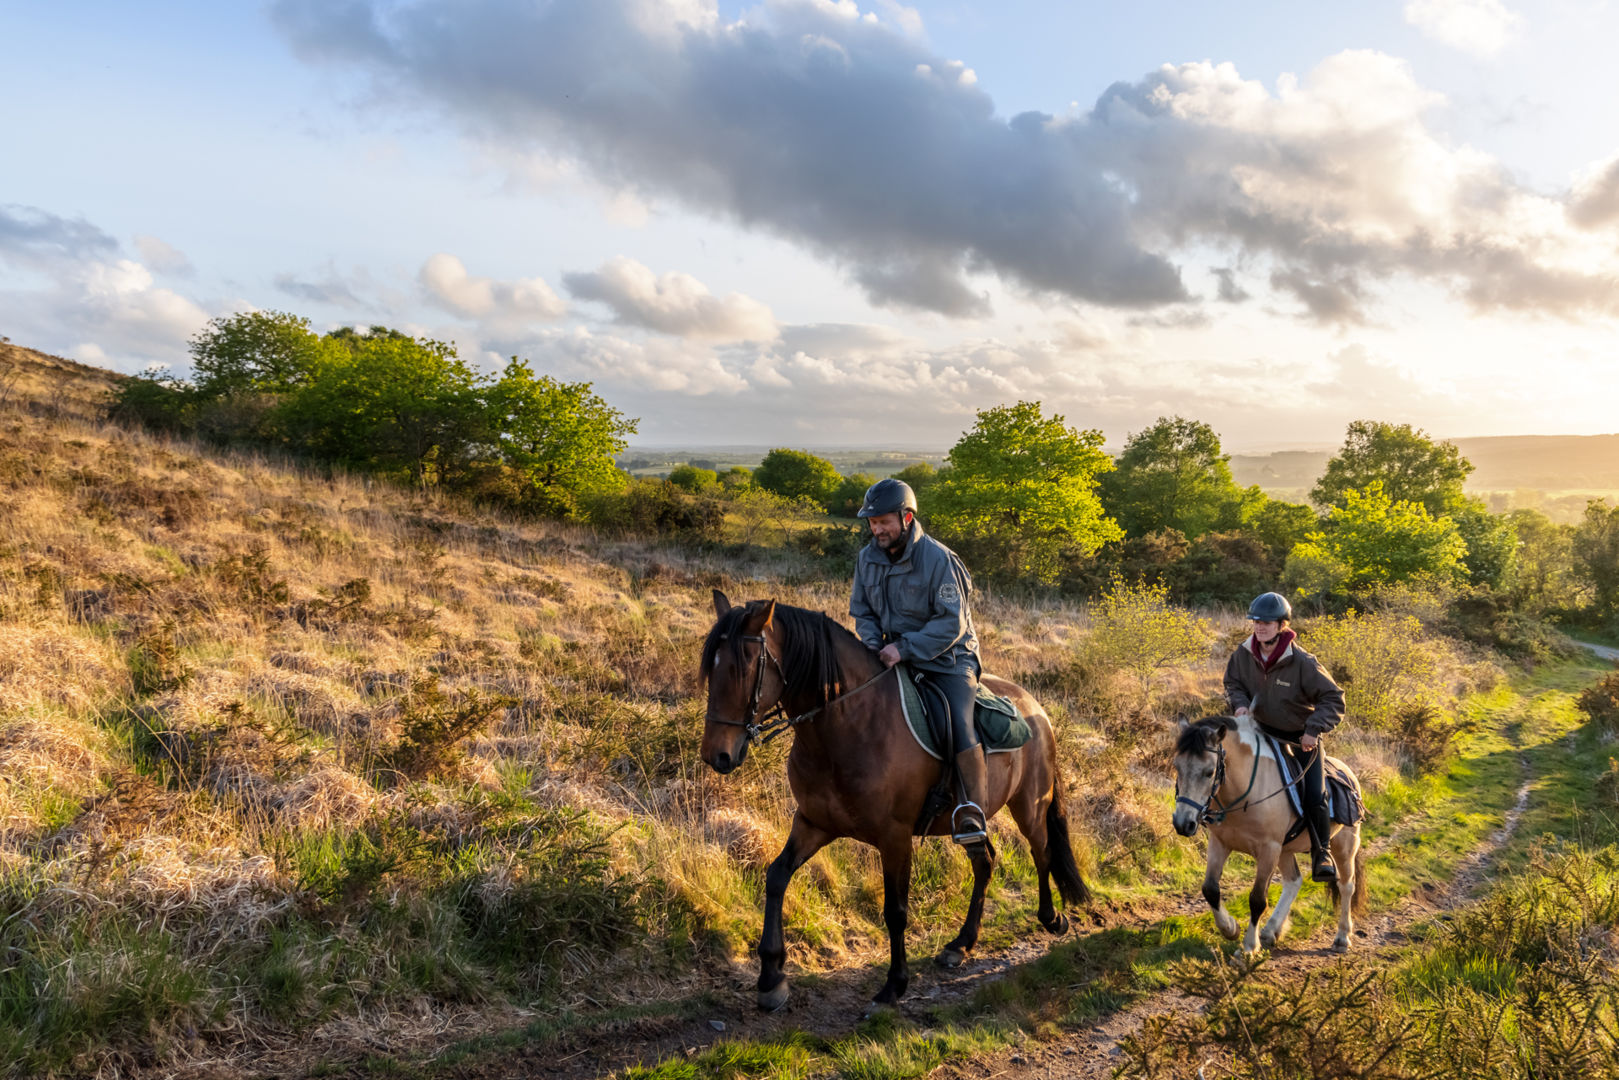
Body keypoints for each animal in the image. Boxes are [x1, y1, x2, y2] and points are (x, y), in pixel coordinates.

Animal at [696, 592, 1087, 1016]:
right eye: (711, 669)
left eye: (743, 668)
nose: (716, 756)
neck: (846, 726)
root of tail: (1037, 708)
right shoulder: (813, 823)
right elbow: (776, 877)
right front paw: (771, 978)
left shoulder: (894, 837)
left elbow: (896, 911)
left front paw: (893, 986)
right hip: (973, 821)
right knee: (985, 863)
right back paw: (961, 944)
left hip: (1030, 804)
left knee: (1042, 853)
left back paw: (1051, 918)